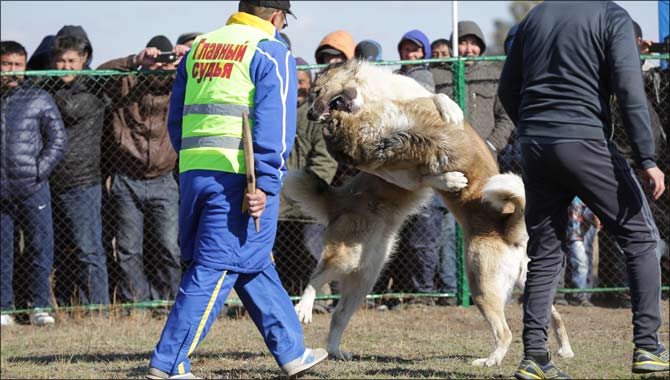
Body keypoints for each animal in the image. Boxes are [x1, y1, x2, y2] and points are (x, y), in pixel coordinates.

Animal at [286, 60, 576, 366]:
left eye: (317, 91)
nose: (311, 114)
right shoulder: (400, 169)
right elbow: (425, 172)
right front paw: (449, 178)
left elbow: (439, 98)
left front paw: (450, 111)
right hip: (362, 263)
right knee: (318, 281)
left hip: (370, 277)